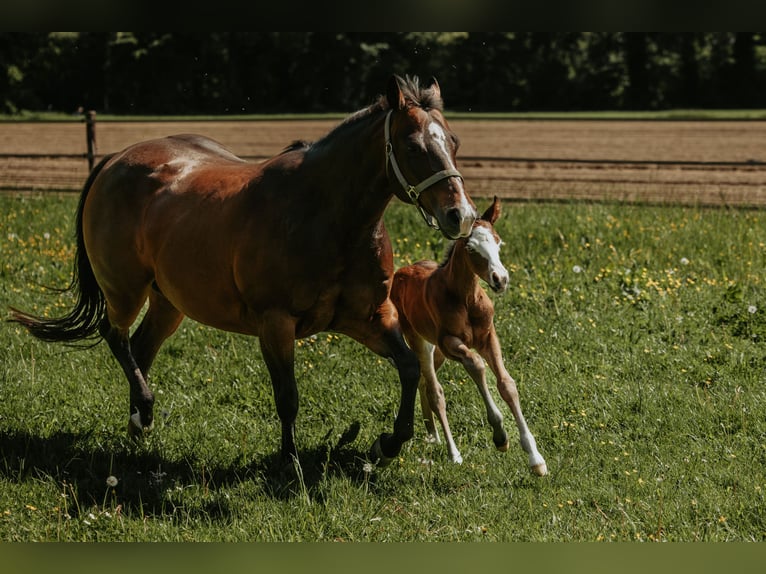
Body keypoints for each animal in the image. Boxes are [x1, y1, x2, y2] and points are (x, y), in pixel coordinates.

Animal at [8, 74, 478, 468]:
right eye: (413, 146)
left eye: (454, 141)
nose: (461, 215)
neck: (326, 217)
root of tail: (114, 161)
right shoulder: (276, 323)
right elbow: (288, 396)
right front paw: (289, 462)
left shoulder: (369, 317)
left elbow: (410, 368)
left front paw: (388, 443)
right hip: (125, 290)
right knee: (115, 335)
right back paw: (144, 408)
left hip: (168, 301)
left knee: (140, 348)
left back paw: (138, 423)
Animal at [390, 196, 547, 475]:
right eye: (472, 249)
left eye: (498, 242)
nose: (500, 279)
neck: (466, 299)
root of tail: (402, 271)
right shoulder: (450, 342)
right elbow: (476, 365)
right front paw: (500, 435)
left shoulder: (488, 337)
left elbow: (507, 384)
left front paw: (535, 458)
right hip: (421, 341)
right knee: (435, 391)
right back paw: (453, 453)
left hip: (437, 352)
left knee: (423, 383)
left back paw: (432, 436)